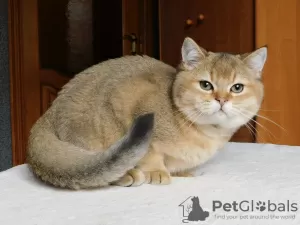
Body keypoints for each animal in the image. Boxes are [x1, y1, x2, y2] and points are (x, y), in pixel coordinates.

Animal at [27, 37, 268, 190]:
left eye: (237, 88)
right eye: (206, 85)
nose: (222, 100)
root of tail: (49, 112)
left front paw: (181, 172)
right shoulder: (129, 97)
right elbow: (149, 151)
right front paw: (155, 171)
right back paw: (126, 174)